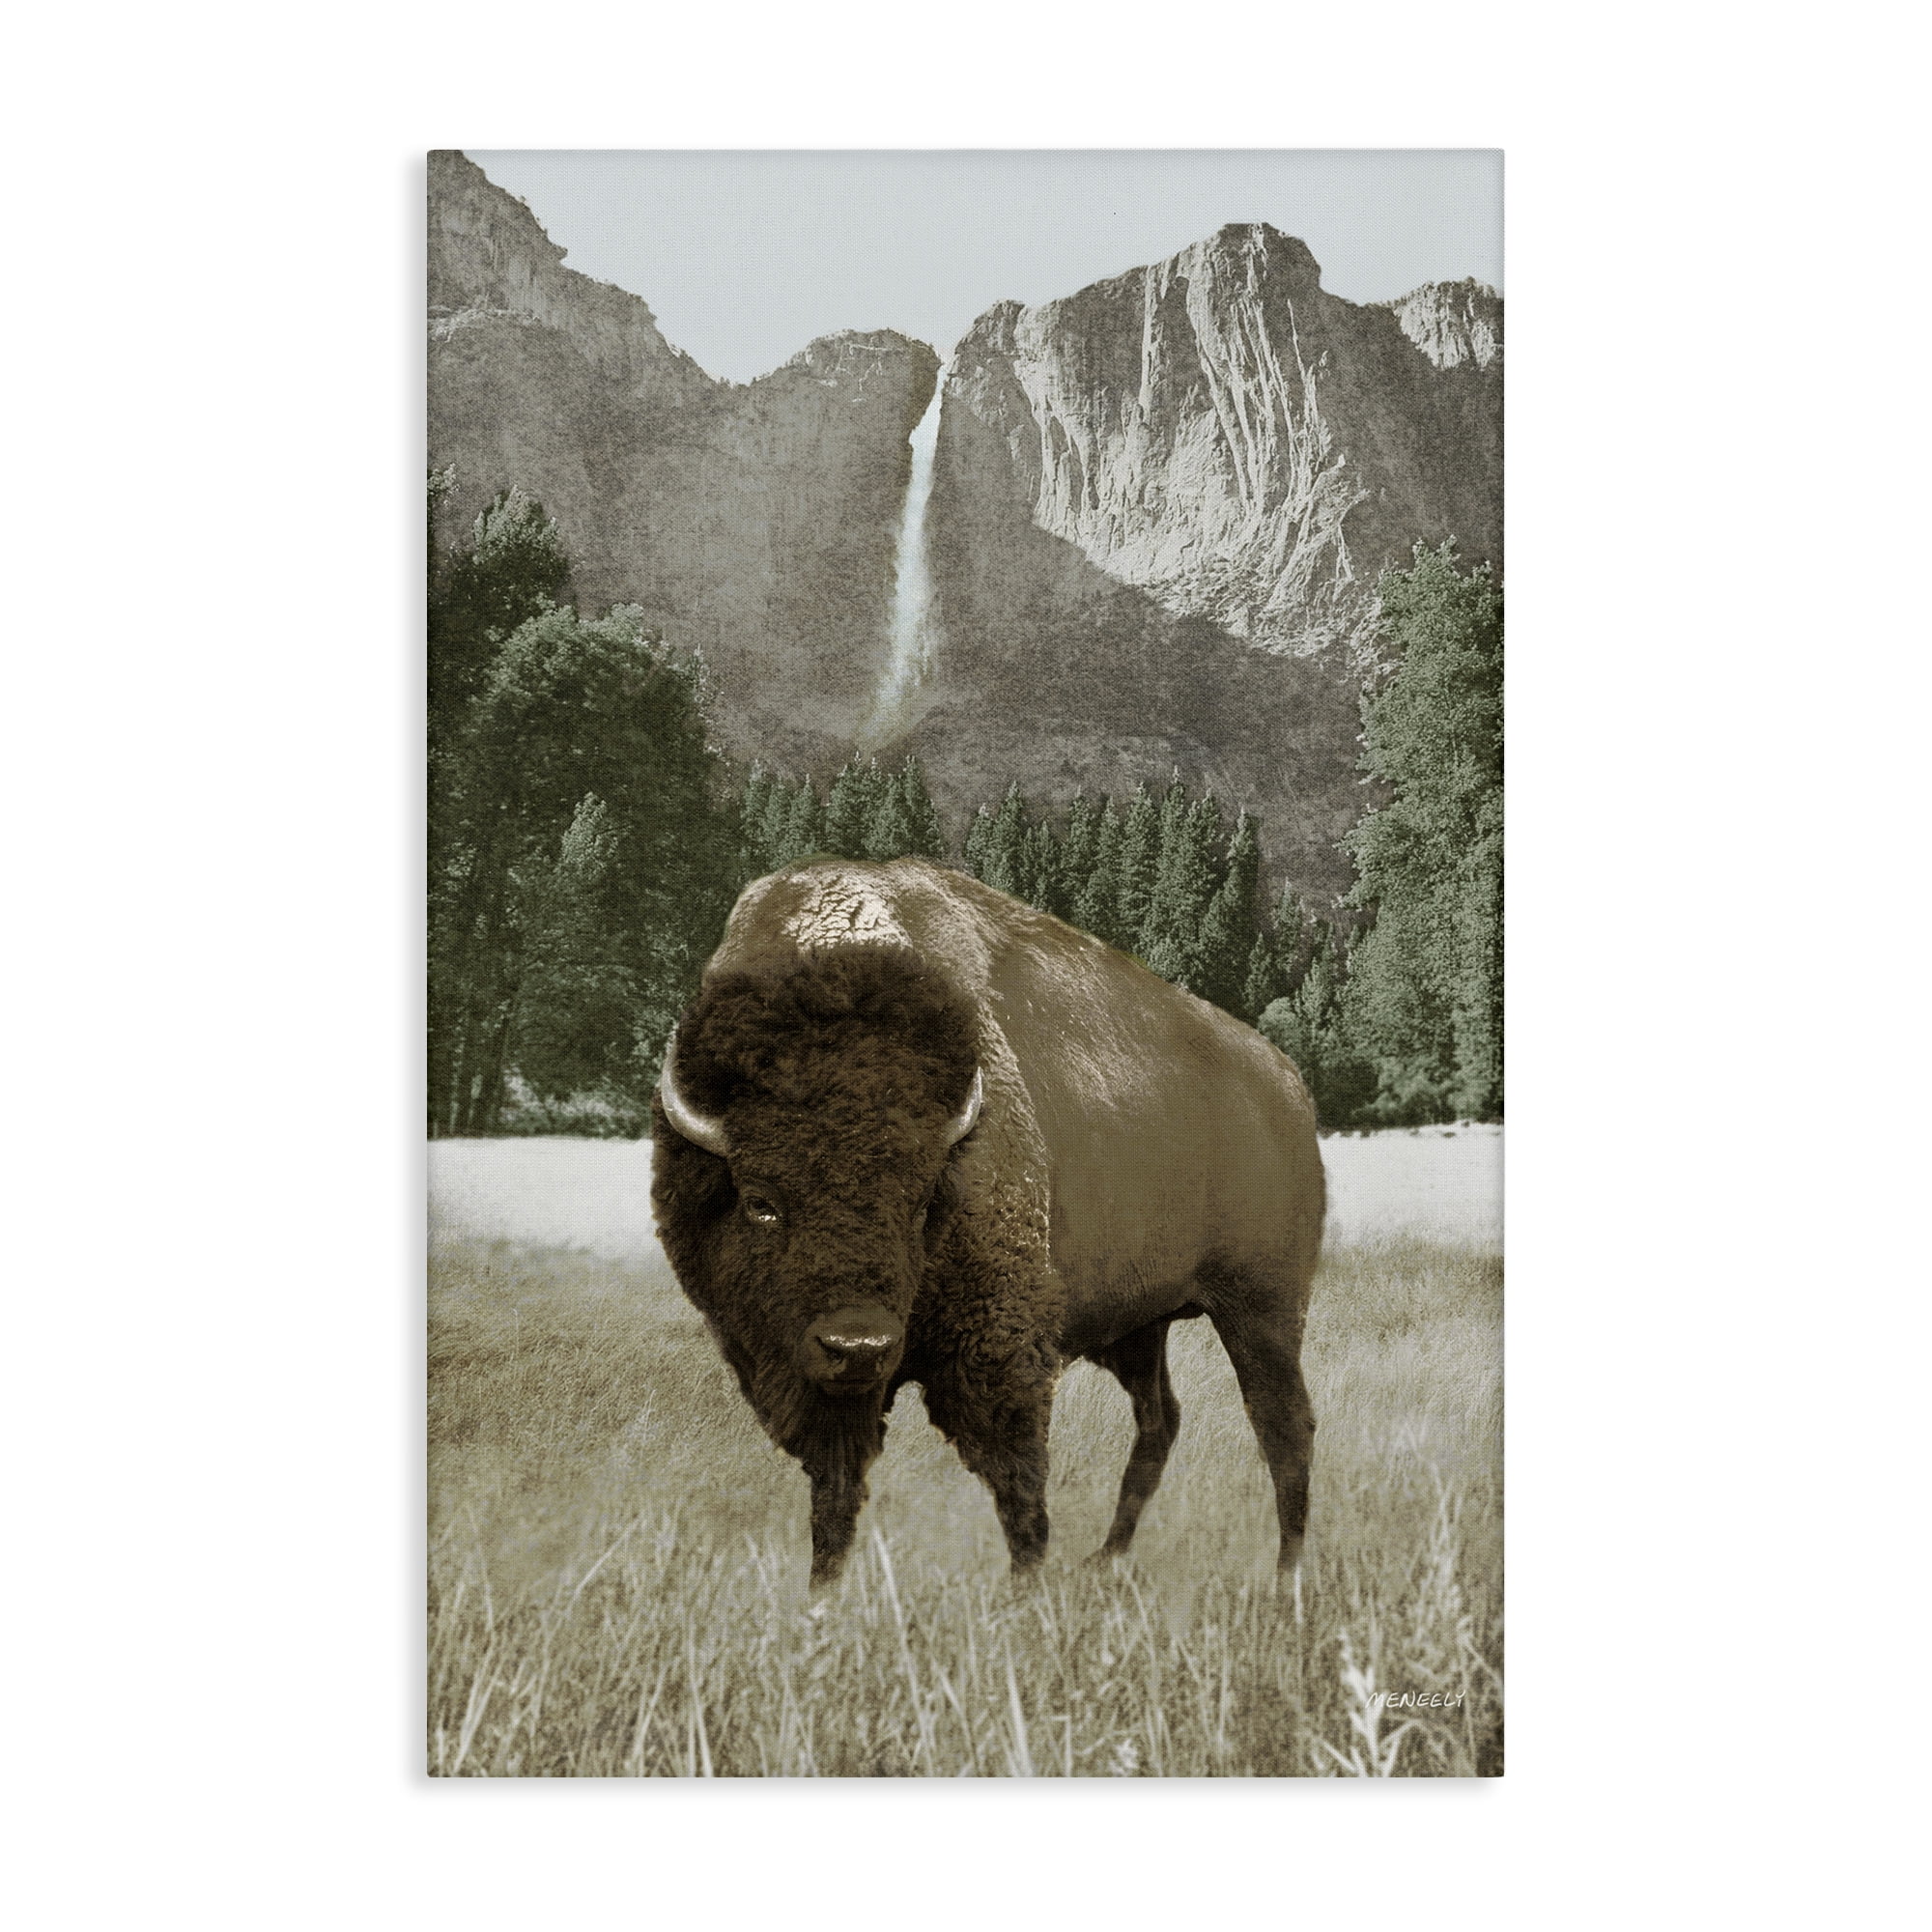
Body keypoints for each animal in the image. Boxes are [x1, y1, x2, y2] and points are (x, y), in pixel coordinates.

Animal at [650, 857, 1325, 1586]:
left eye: (921, 1200)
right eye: (761, 1202)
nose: (858, 1345)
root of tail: (1289, 1084)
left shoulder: (1000, 1348)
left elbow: (1016, 1481)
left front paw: (1026, 1586)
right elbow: (835, 1489)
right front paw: (823, 1587)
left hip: (1262, 1308)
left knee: (1284, 1426)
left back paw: (1285, 1574)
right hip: (1141, 1326)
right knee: (1160, 1419)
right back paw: (1107, 1556)